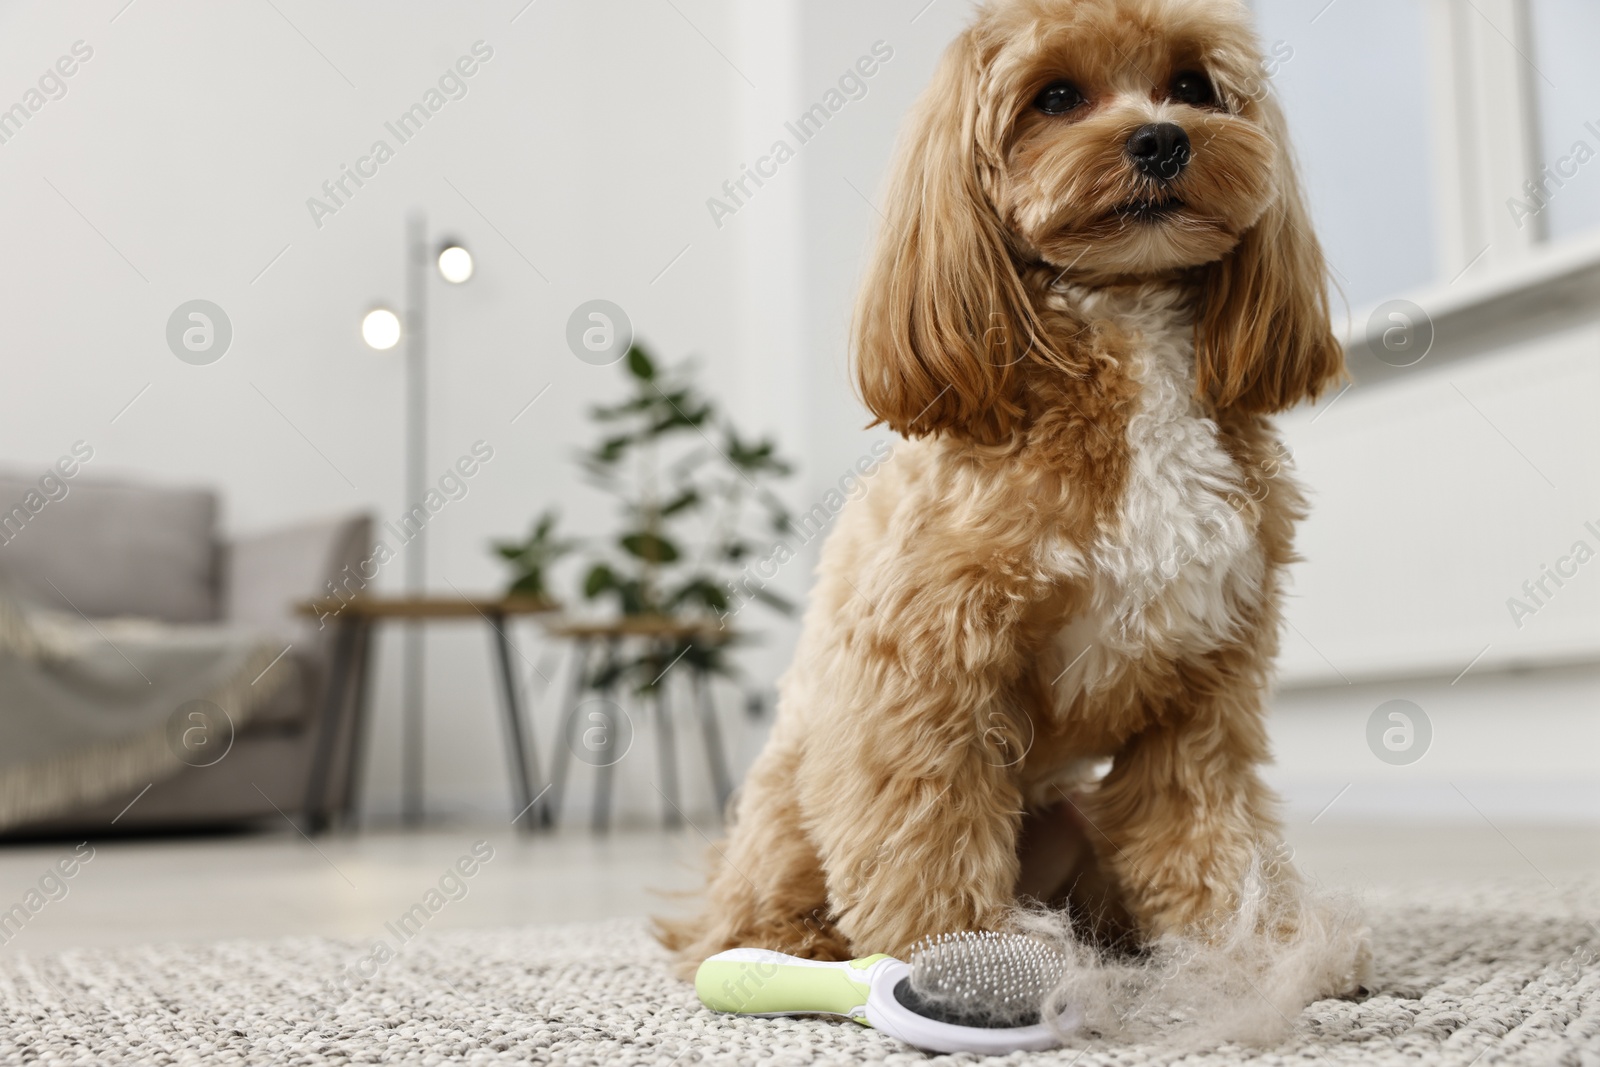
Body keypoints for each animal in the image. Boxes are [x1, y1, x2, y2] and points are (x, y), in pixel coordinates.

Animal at [659, 0, 1363, 991]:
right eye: (1056, 97)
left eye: (1193, 85)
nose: (1160, 138)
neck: (1126, 334)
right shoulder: (926, 669)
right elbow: (928, 824)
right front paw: (958, 953)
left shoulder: (1204, 687)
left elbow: (1208, 832)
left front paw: (1251, 950)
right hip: (793, 799)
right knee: (747, 911)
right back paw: (787, 944)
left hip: (1076, 817)